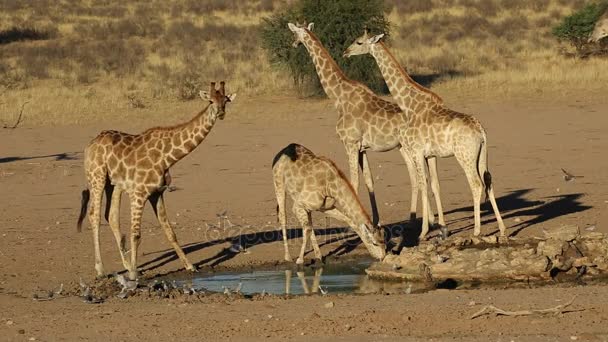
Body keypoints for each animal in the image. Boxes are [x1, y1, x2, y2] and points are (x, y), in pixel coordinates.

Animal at [76, 81, 238, 280]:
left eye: (225, 100)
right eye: (210, 101)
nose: (221, 113)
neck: (166, 157)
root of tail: (89, 146)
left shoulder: (157, 193)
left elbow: (170, 232)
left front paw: (190, 266)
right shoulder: (139, 193)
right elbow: (136, 234)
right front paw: (134, 274)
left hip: (112, 184)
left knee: (111, 216)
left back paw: (126, 265)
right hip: (96, 177)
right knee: (95, 215)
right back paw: (101, 270)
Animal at [288, 22, 444, 228]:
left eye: (294, 33)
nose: (293, 44)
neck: (338, 96)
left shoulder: (350, 143)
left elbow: (354, 182)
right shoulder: (362, 148)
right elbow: (369, 181)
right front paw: (376, 220)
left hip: (408, 148)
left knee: (419, 178)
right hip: (413, 149)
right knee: (425, 178)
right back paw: (432, 221)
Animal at [344, 30, 506, 239]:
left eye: (359, 42)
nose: (346, 52)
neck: (409, 105)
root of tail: (481, 132)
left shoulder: (417, 152)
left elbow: (423, 185)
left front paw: (423, 232)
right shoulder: (429, 155)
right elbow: (433, 185)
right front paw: (438, 228)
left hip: (465, 156)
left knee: (476, 184)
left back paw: (477, 231)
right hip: (481, 155)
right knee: (488, 182)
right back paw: (502, 228)